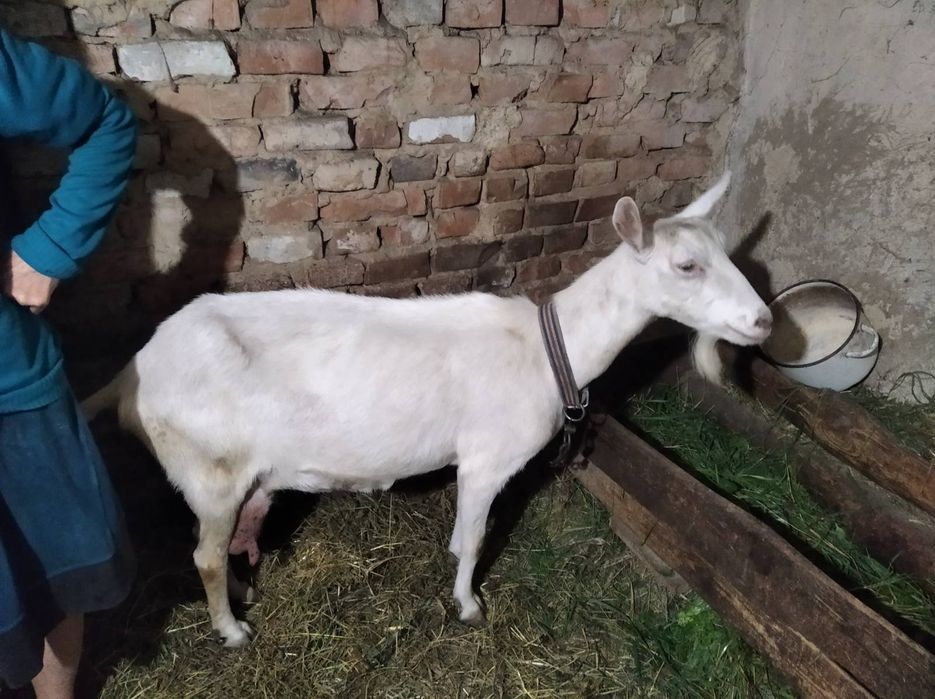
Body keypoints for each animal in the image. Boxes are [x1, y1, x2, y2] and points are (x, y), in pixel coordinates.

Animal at [82, 171, 771, 647]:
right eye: (687, 265)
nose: (763, 321)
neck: (550, 350)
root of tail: (129, 374)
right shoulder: (487, 461)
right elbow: (471, 540)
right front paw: (468, 606)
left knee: (221, 546)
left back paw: (241, 591)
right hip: (209, 469)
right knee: (201, 554)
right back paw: (232, 631)